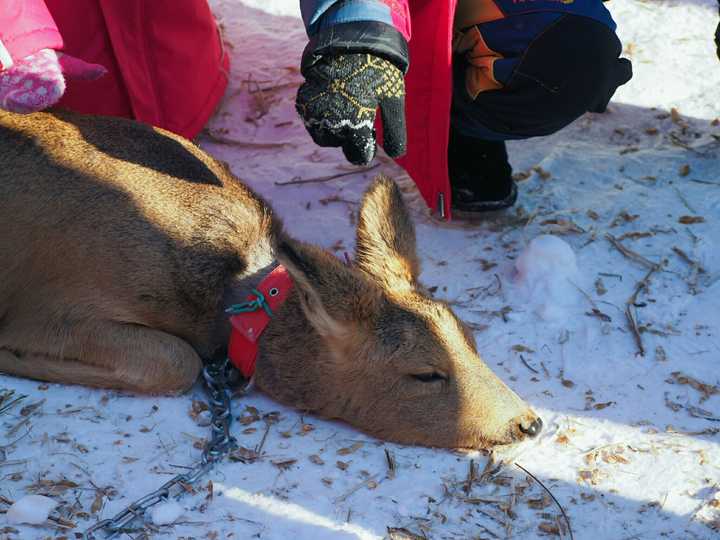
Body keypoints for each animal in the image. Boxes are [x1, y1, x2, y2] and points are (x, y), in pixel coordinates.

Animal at [0, 109, 540, 448]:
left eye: (471, 341)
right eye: (424, 373)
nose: (528, 424)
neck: (231, 302)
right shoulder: (48, 309)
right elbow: (175, 361)